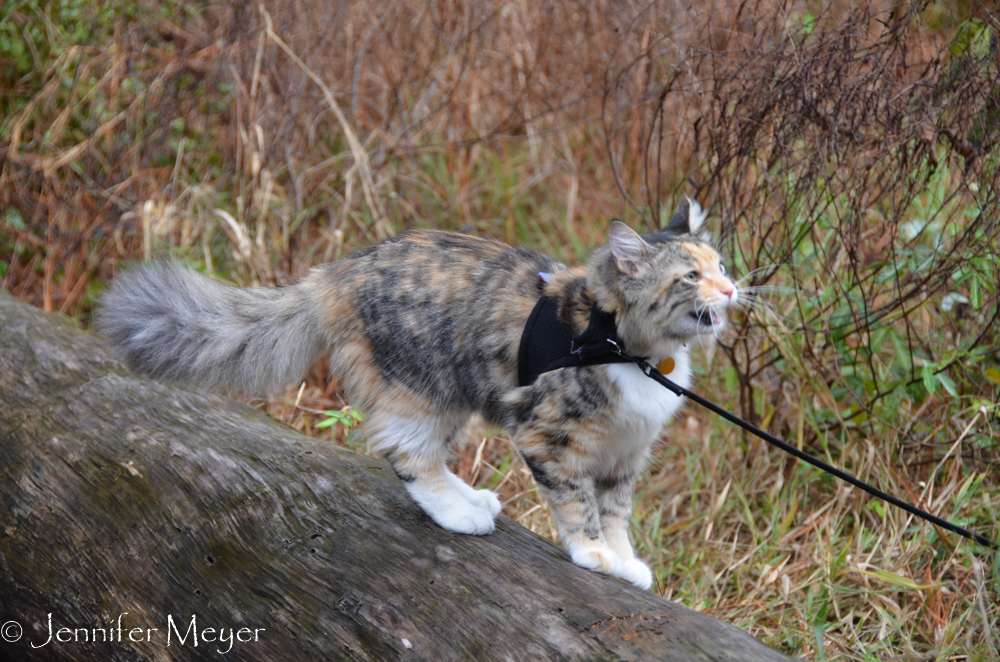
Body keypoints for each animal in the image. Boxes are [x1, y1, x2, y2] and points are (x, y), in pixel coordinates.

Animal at [97, 198, 740, 592]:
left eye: (721, 264)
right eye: (691, 276)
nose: (734, 289)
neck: (624, 345)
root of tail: (340, 269)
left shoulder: (625, 453)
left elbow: (615, 513)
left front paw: (624, 561)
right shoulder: (551, 438)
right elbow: (578, 505)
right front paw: (593, 555)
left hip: (453, 398)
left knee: (427, 454)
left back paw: (471, 499)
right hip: (422, 388)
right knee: (406, 454)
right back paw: (459, 513)